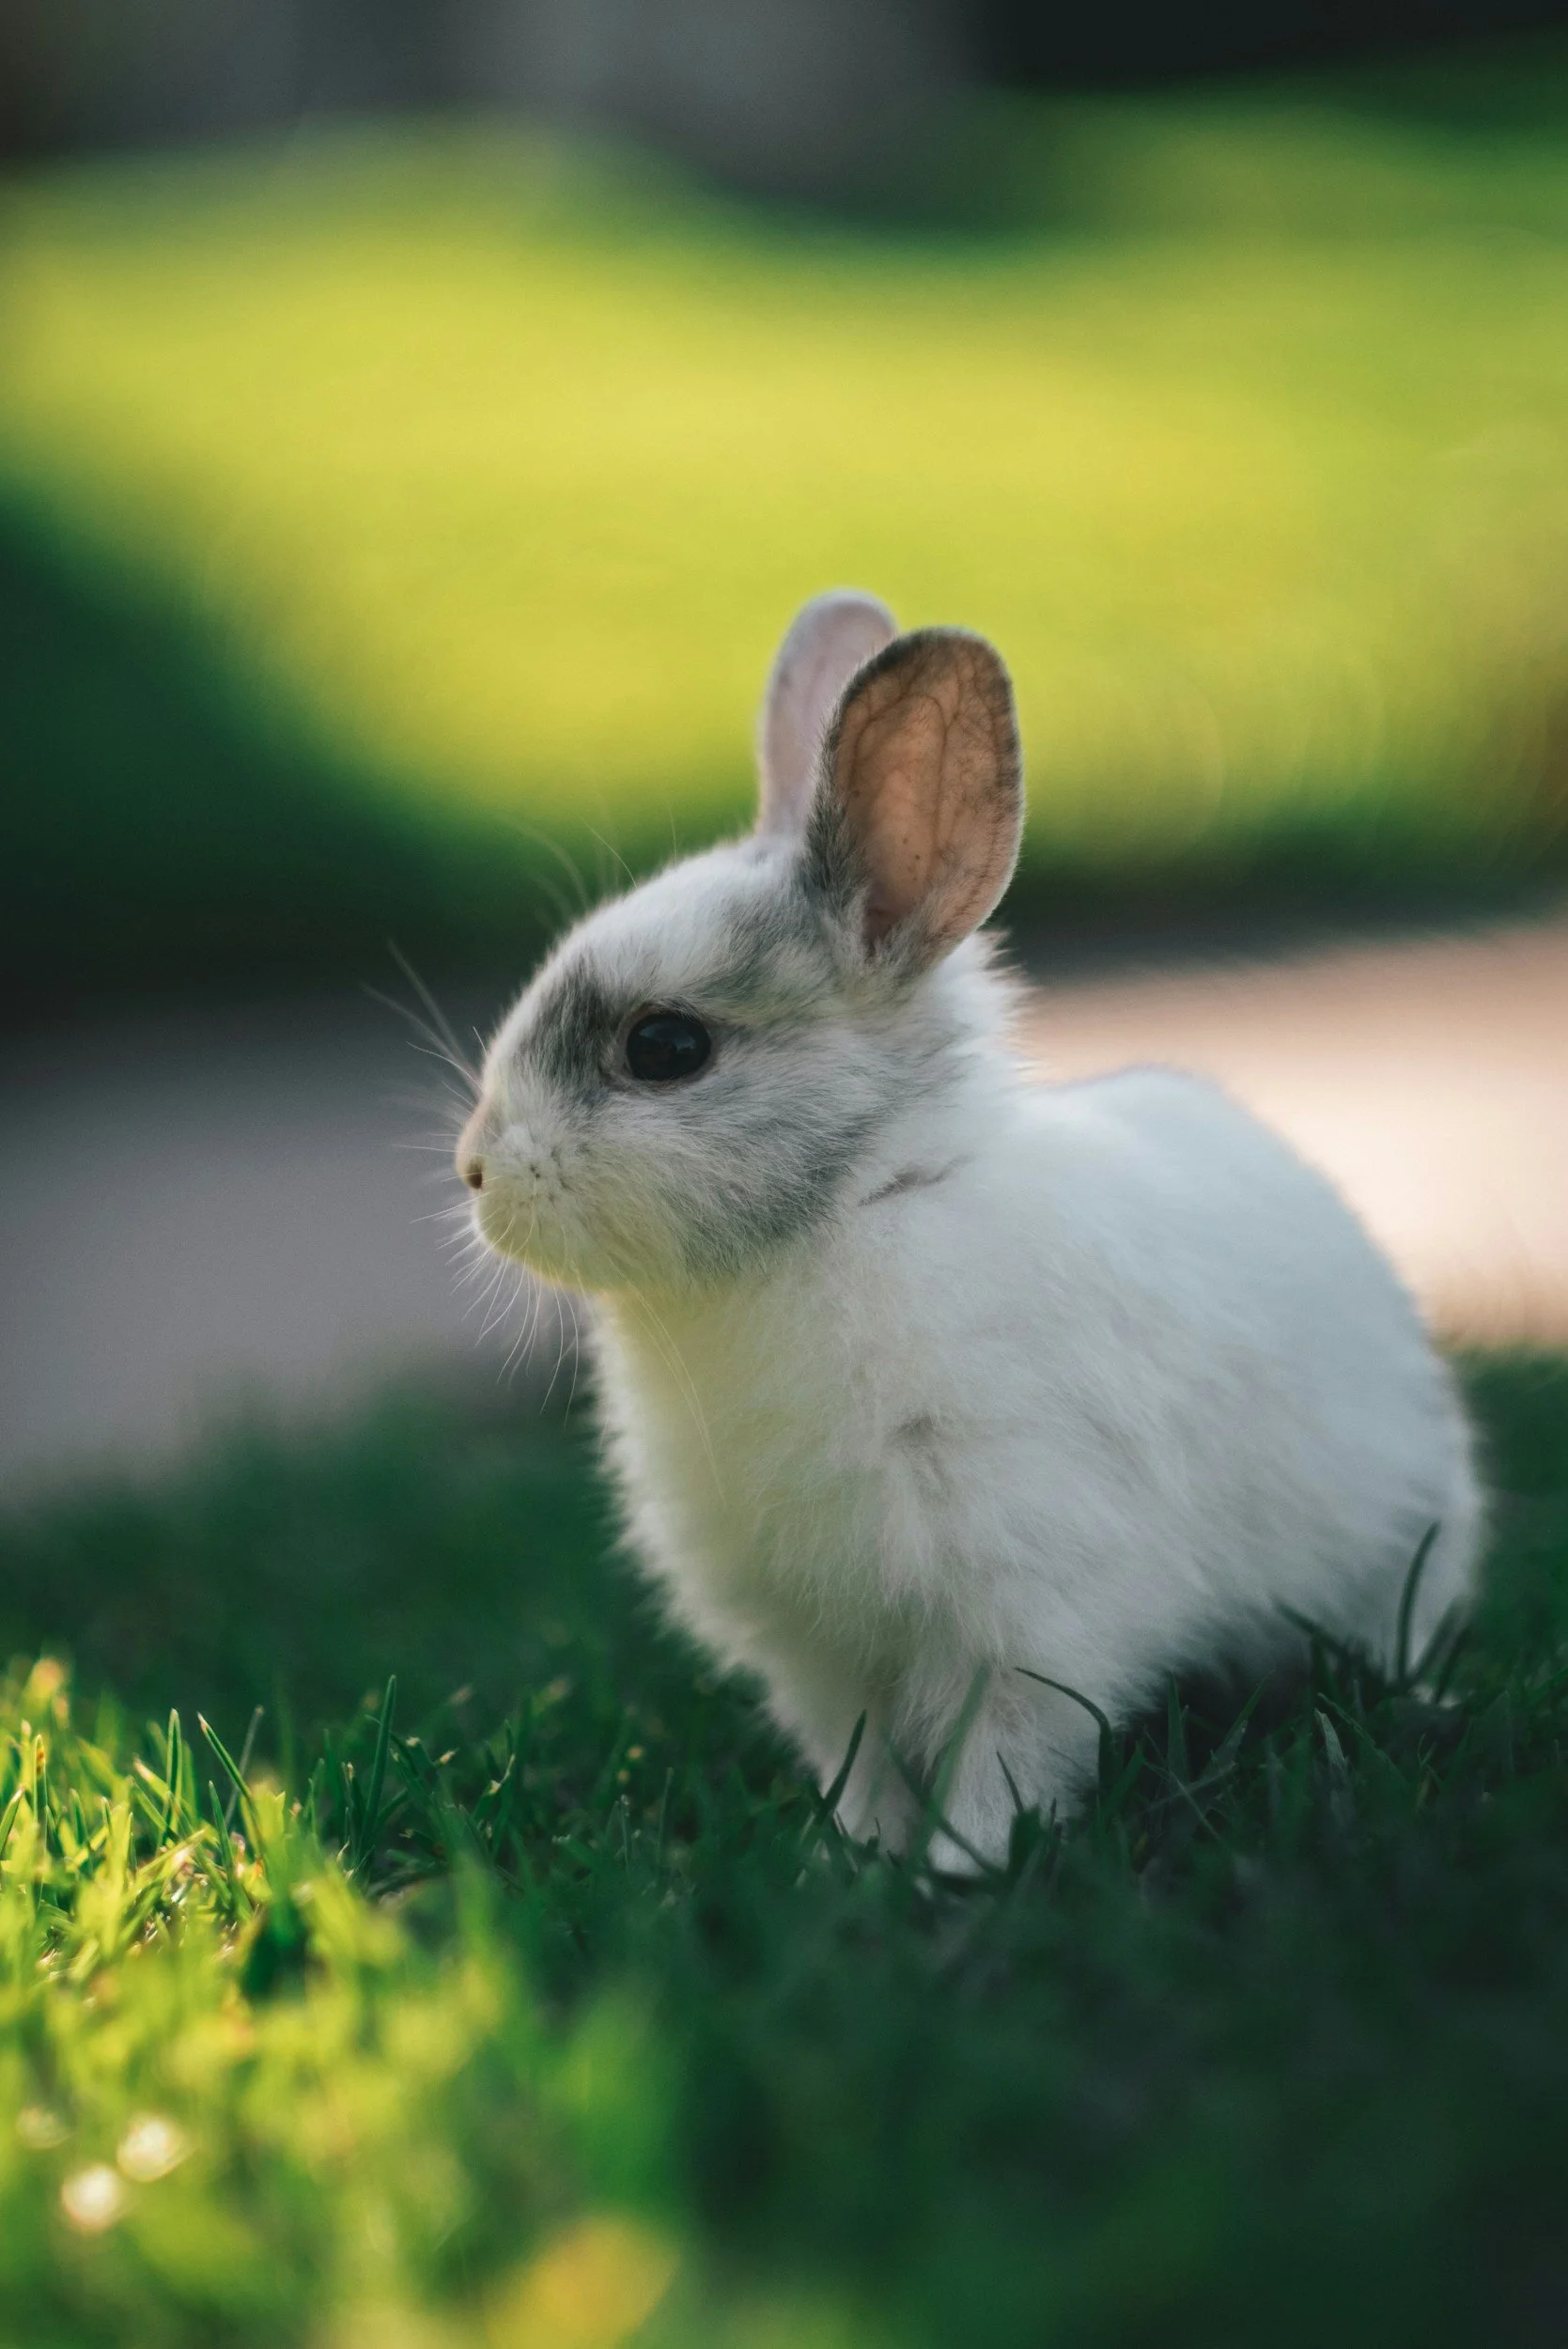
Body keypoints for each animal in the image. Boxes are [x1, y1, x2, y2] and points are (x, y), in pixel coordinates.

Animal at [455, 589, 1482, 1868]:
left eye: (665, 1047)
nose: (475, 1170)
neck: (850, 1210)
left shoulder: (1027, 1609)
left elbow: (1002, 1758)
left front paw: (963, 1871)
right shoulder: (822, 1652)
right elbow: (862, 1762)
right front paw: (854, 1860)